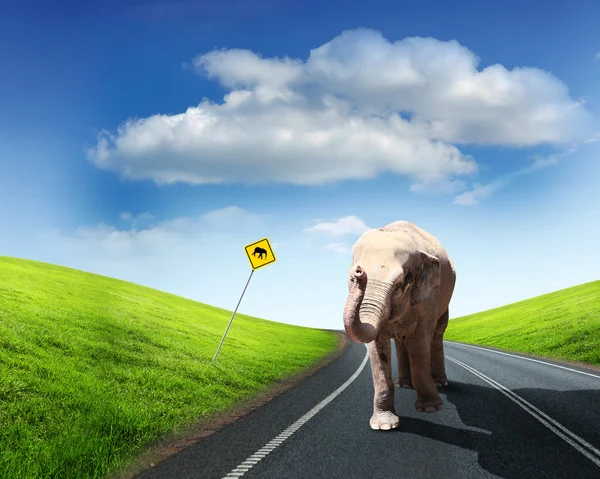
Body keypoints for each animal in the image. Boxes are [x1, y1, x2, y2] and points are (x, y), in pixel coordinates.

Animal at [342, 220, 454, 432]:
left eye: (400, 283)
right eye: (351, 279)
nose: (360, 272)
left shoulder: (429, 298)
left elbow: (419, 343)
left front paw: (430, 409)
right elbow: (377, 349)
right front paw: (384, 426)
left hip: (444, 302)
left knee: (436, 335)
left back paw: (439, 383)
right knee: (402, 343)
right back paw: (404, 384)